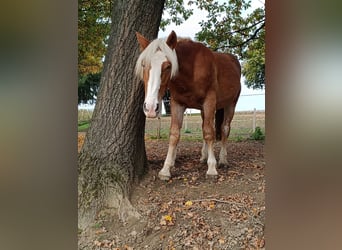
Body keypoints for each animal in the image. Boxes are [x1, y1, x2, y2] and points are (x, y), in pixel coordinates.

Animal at [134, 30, 240, 180]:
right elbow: (175, 134)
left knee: (224, 128)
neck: (191, 71)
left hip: (231, 104)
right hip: (203, 110)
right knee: (205, 127)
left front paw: (212, 168)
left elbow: (209, 132)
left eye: (168, 66)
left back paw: (223, 160)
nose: (150, 108)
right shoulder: (177, 104)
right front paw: (166, 169)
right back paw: (204, 157)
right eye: (144, 64)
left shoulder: (209, 102)